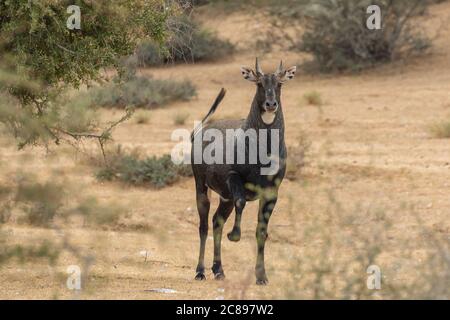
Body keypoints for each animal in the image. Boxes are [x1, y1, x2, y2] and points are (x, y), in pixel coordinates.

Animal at [192, 58, 298, 284]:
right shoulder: (234, 180)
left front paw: (261, 276)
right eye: (259, 83)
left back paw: (219, 270)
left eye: (279, 84)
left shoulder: (271, 192)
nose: (270, 105)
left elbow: (262, 231)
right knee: (204, 226)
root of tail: (200, 133)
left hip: (225, 198)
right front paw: (235, 236)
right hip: (201, 187)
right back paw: (200, 271)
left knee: (217, 221)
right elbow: (241, 202)